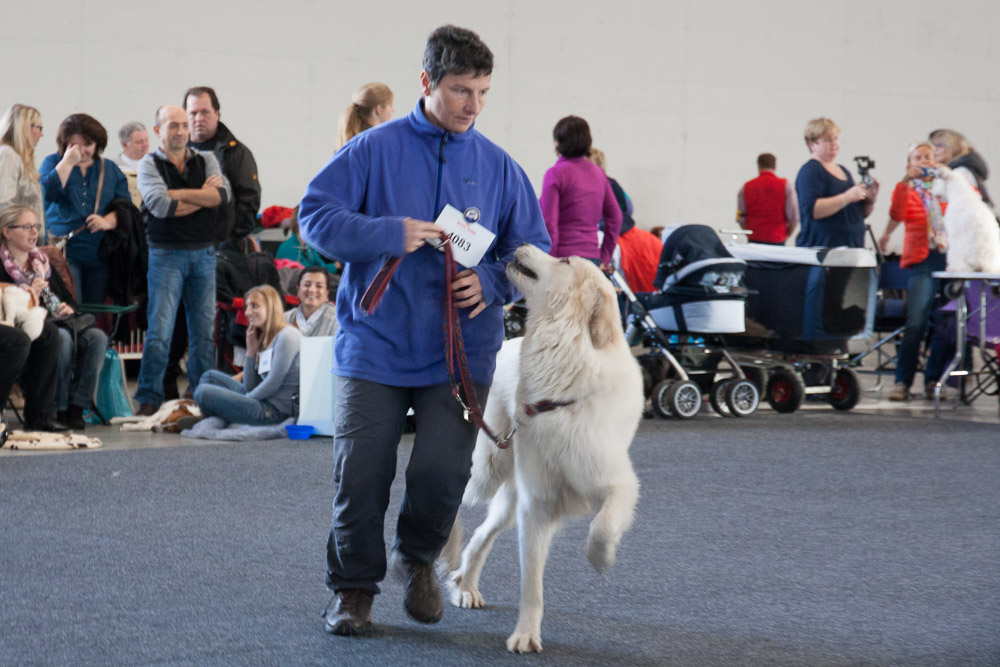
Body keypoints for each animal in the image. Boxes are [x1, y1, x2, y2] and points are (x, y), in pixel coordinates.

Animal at [442, 244, 644, 652]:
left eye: (564, 260)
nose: (520, 244)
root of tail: (507, 343)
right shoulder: (536, 505)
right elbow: (531, 584)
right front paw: (525, 634)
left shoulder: (617, 483)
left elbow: (603, 524)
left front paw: (601, 556)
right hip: (489, 468)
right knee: (452, 498)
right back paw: (448, 553)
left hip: (507, 496)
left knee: (482, 534)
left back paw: (464, 584)